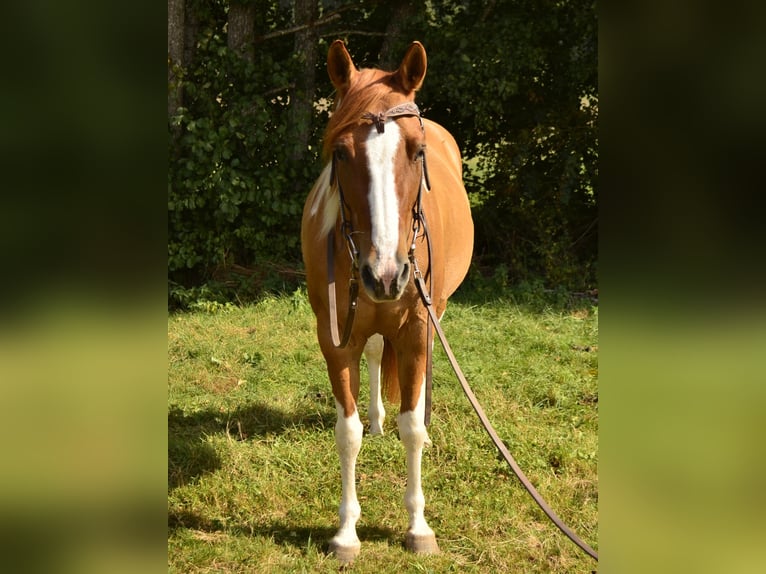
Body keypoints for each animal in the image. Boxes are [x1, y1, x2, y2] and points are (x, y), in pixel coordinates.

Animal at [301, 39, 474, 562]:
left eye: (416, 151)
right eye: (340, 152)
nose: (385, 274)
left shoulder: (416, 329)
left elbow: (412, 426)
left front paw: (418, 527)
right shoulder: (335, 337)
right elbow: (348, 432)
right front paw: (345, 533)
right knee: (377, 353)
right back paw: (378, 420)